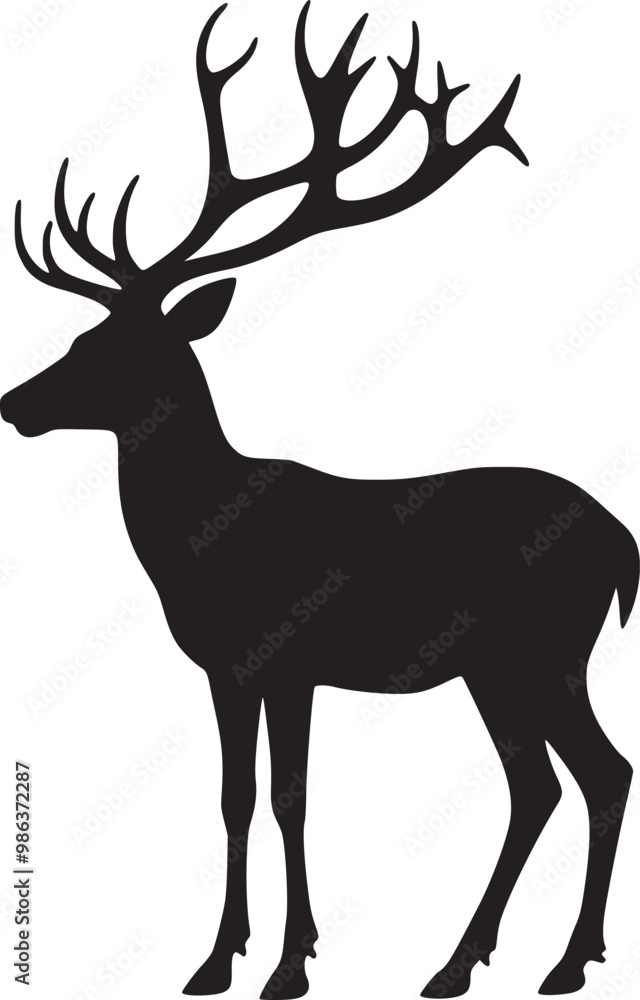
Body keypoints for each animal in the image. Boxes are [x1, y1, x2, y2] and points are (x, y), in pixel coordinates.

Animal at [2, 3, 637, 998]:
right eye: (79, 335)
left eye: (117, 349)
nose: (13, 403)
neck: (199, 540)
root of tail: (623, 545)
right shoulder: (230, 667)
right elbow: (236, 798)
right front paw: (230, 956)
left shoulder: (285, 655)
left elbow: (285, 799)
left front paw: (279, 962)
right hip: (499, 668)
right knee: (546, 783)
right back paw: (482, 960)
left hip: (541, 650)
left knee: (595, 774)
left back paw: (548, 962)